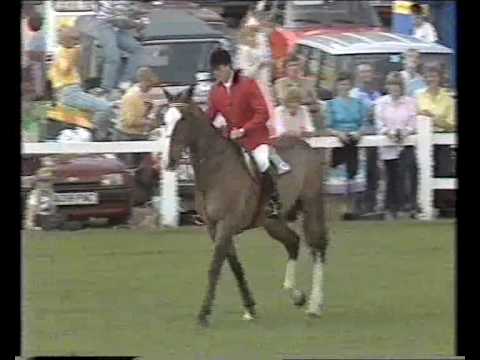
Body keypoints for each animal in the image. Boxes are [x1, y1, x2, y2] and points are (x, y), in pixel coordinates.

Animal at [163, 84, 328, 326]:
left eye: (182, 119)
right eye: (164, 120)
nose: (168, 162)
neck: (216, 170)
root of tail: (305, 145)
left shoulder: (226, 224)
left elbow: (215, 266)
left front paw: (203, 314)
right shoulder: (215, 228)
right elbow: (234, 266)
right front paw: (249, 308)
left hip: (311, 205)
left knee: (317, 248)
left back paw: (315, 306)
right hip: (272, 222)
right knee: (293, 242)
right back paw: (295, 294)